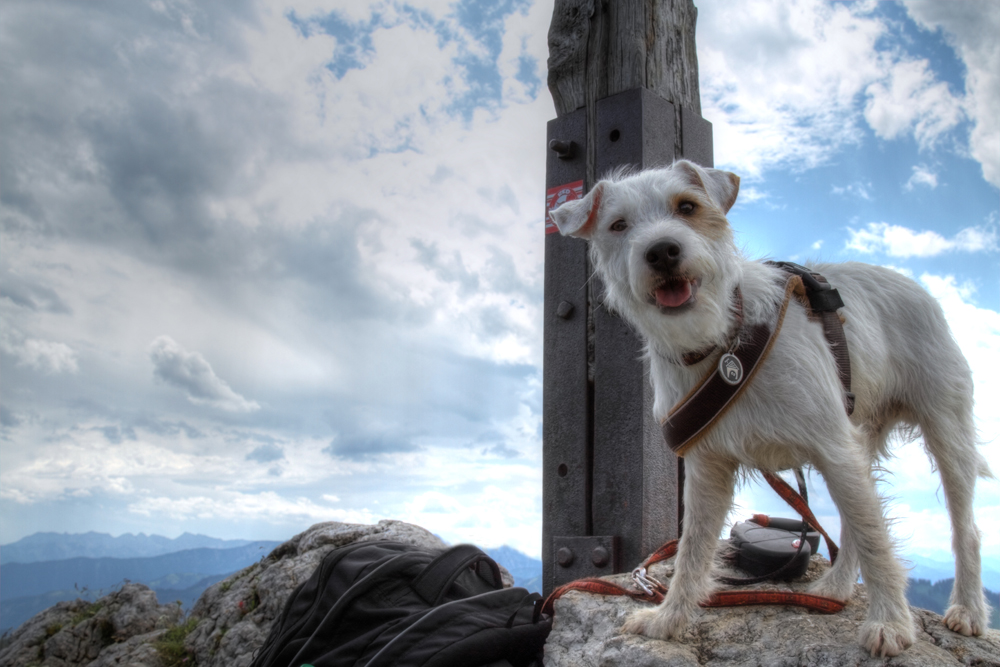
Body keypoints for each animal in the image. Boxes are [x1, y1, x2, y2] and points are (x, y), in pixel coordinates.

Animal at [548, 160, 992, 656]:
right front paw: (670, 618)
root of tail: (914, 285)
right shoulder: (708, 467)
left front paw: (891, 623)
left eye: (688, 207)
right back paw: (836, 587)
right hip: (860, 441)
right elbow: (693, 547)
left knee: (959, 528)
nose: (662, 251)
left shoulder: (833, 447)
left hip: (944, 430)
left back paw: (968, 610)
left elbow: (877, 540)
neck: (722, 340)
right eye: (618, 225)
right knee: (857, 519)